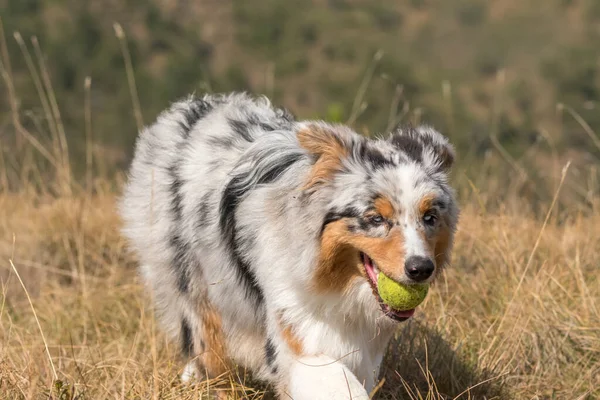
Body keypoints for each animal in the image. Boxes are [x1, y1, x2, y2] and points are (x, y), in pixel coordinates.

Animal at [120, 93, 460, 396]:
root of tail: (195, 107)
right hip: (192, 280)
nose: (421, 269)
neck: (337, 284)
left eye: (429, 217)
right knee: (209, 350)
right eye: (375, 218)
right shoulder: (299, 330)